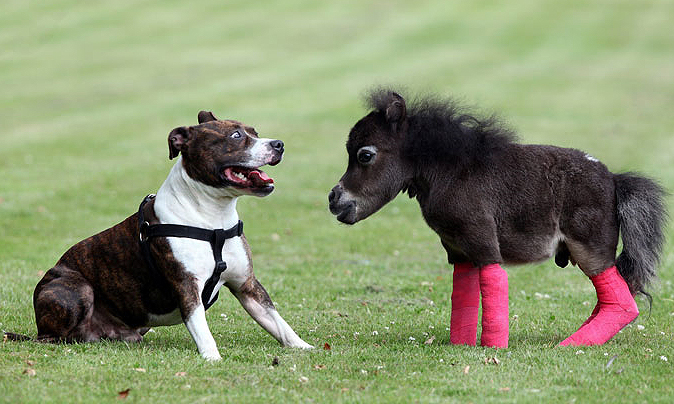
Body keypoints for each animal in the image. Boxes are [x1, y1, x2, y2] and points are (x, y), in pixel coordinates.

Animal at [328, 88, 664, 348]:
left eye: (365, 155)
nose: (334, 199)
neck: (451, 173)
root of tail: (614, 179)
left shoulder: (483, 242)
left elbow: (494, 282)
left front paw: (493, 347)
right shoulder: (459, 251)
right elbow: (463, 295)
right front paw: (460, 345)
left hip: (589, 249)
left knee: (621, 303)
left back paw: (571, 344)